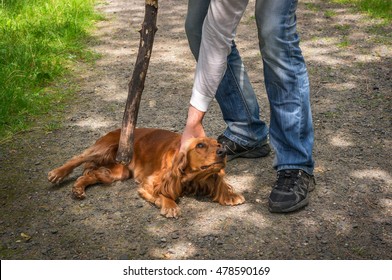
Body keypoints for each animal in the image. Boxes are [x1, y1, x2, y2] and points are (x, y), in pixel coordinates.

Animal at [47, 128, 245, 218]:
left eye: (218, 144)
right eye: (200, 145)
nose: (223, 152)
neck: (191, 176)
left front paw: (230, 195)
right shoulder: (150, 182)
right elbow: (163, 192)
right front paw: (170, 205)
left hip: (119, 171)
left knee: (91, 175)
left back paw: (78, 189)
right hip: (103, 148)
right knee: (78, 158)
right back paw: (57, 173)